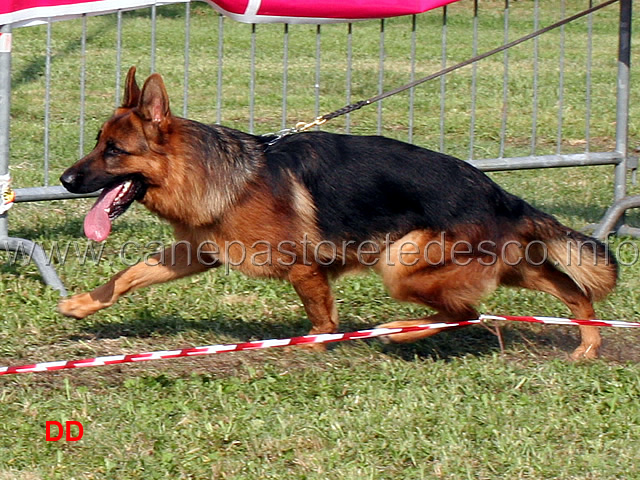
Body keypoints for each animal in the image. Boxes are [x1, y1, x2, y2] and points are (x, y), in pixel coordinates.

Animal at [58, 68, 616, 360]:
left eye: (114, 151)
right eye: (96, 143)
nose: (64, 181)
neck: (212, 172)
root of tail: (502, 194)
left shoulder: (304, 268)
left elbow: (322, 318)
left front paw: (313, 347)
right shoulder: (199, 251)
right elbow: (132, 274)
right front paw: (83, 303)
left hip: (401, 264)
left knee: (468, 313)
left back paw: (400, 330)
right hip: (507, 265)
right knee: (571, 290)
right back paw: (588, 343)